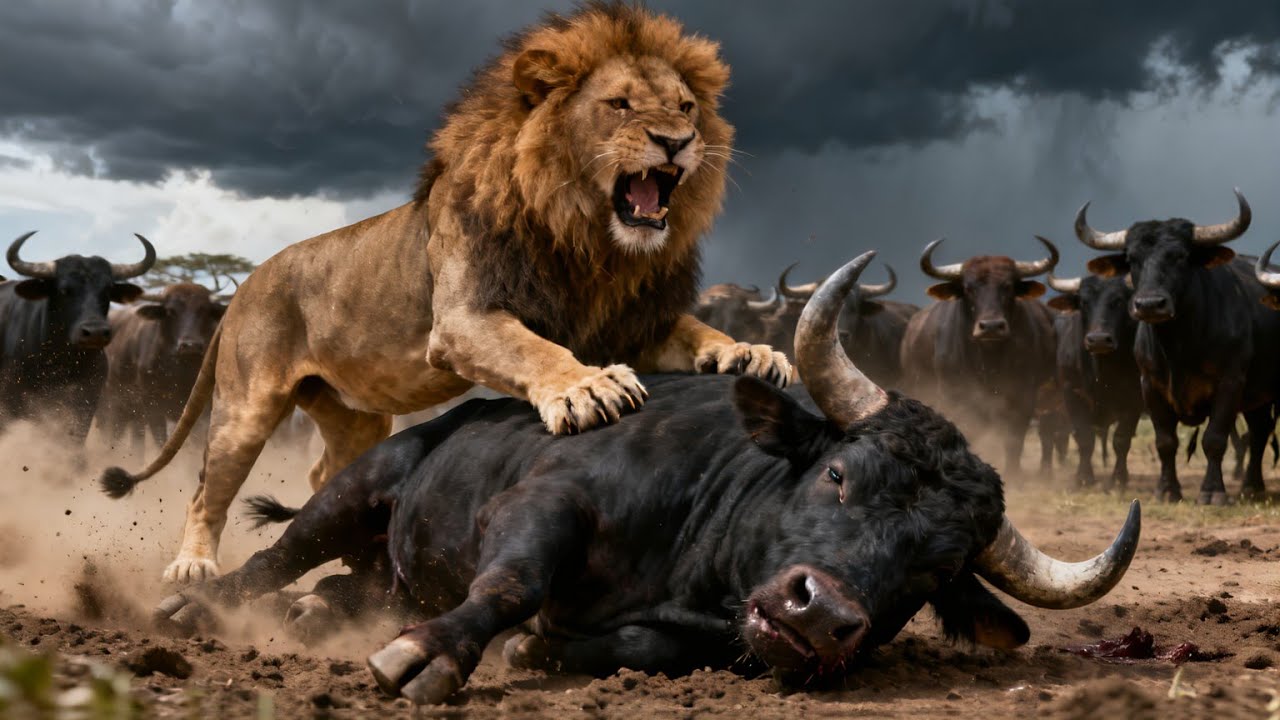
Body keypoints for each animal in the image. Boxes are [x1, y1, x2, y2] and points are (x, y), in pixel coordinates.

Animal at [97, 283, 228, 452]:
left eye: (203, 309)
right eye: (171, 311)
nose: (190, 346)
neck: (181, 371)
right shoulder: (152, 405)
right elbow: (161, 439)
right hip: (114, 406)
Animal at [899, 237, 1059, 475]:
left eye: (1008, 286)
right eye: (968, 288)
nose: (991, 326)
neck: (988, 359)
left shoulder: (1022, 394)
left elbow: (1014, 439)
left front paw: (1014, 474)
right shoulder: (956, 394)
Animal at [1045, 272, 1143, 490]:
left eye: (1119, 301)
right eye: (1084, 302)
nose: (1098, 340)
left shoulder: (1135, 400)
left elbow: (1121, 440)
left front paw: (1119, 479)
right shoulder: (1072, 393)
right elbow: (1084, 438)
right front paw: (1083, 477)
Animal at [1075, 189, 1280, 504]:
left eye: (1181, 256)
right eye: (1132, 258)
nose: (1149, 304)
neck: (1179, 347)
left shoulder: (1231, 382)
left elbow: (1214, 438)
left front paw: (1212, 492)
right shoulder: (1150, 386)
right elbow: (1165, 441)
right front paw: (1167, 490)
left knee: (1259, 433)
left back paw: (1250, 486)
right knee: (1259, 431)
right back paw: (1252, 485)